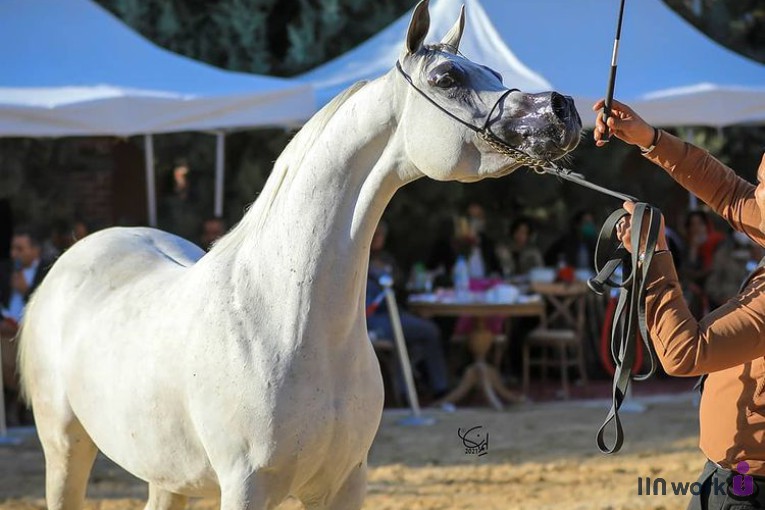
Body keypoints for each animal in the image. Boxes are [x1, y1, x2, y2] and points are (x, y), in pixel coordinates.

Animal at [17, 1, 580, 508]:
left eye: (495, 72)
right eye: (446, 78)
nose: (562, 110)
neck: (286, 320)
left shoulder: (346, 483)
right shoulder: (246, 488)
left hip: (168, 475)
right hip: (65, 450)